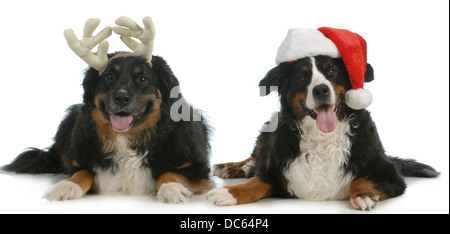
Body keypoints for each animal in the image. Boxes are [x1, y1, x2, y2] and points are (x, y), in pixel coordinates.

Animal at [2, 16, 214, 203]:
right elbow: (83, 172)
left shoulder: (197, 167)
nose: (121, 98)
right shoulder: (80, 161)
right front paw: (66, 186)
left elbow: (170, 173)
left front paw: (172, 189)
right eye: (109, 76)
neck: (127, 141)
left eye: (143, 78)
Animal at [208, 27, 440, 210]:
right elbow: (256, 183)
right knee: (255, 156)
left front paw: (364, 194)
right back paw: (233, 167)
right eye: (302, 76)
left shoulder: (389, 173)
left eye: (331, 71)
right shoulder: (277, 168)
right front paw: (228, 192)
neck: (322, 137)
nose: (321, 89)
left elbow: (361, 179)